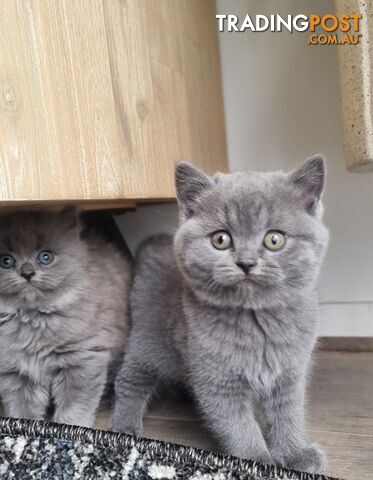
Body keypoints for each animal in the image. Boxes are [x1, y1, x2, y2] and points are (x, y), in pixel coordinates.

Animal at [0, 208, 131, 426]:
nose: (27, 272)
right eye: (6, 261)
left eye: (45, 257)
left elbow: (74, 410)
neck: (33, 321)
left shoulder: (81, 359)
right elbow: (22, 410)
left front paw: (71, 428)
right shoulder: (15, 373)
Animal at [113, 158, 328, 472]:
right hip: (147, 342)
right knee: (129, 381)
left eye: (274, 239)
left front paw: (293, 453)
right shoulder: (218, 381)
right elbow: (239, 426)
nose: (246, 262)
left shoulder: (289, 372)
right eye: (221, 239)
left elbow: (288, 413)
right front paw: (258, 463)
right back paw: (124, 426)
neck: (257, 323)